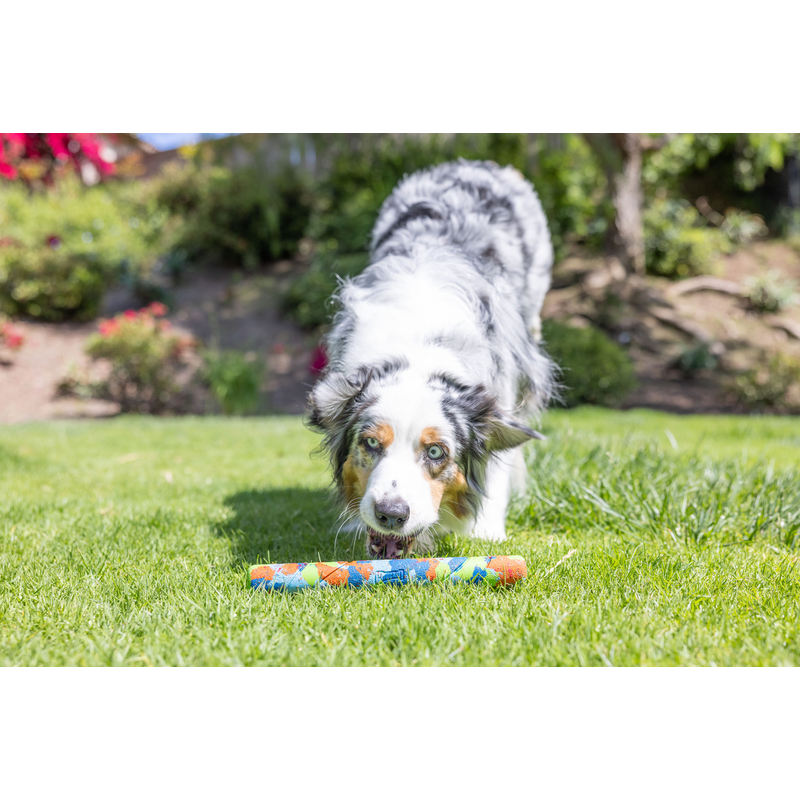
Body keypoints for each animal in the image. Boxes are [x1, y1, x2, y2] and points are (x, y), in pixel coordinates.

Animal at [310, 156, 552, 556]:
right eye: (371, 443)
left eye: (436, 452)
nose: (391, 514)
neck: (417, 347)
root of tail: (470, 163)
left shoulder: (499, 391)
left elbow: (496, 466)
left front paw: (487, 530)